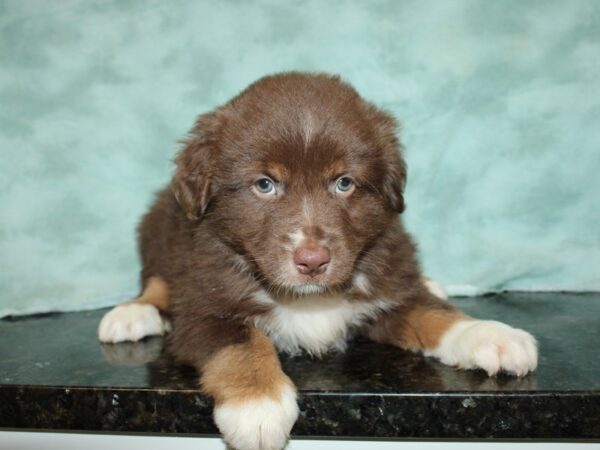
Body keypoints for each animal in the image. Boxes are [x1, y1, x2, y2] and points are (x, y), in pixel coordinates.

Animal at [98, 74, 540, 450]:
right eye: (265, 185)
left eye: (344, 183)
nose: (312, 260)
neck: (309, 297)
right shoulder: (203, 310)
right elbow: (242, 342)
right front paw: (257, 406)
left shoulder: (390, 288)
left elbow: (434, 314)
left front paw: (491, 337)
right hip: (158, 233)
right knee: (156, 281)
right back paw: (131, 314)